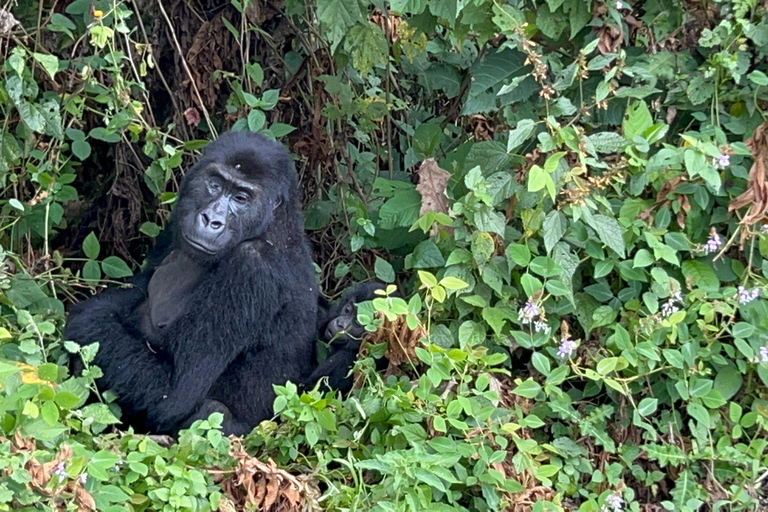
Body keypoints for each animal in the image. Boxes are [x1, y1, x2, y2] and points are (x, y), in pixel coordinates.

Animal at [64, 131, 326, 436]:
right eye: (214, 184)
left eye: (241, 198)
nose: (212, 219)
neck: (273, 227)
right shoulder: (177, 226)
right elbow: (128, 296)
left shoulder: (253, 267)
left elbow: (178, 393)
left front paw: (81, 319)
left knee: (211, 410)